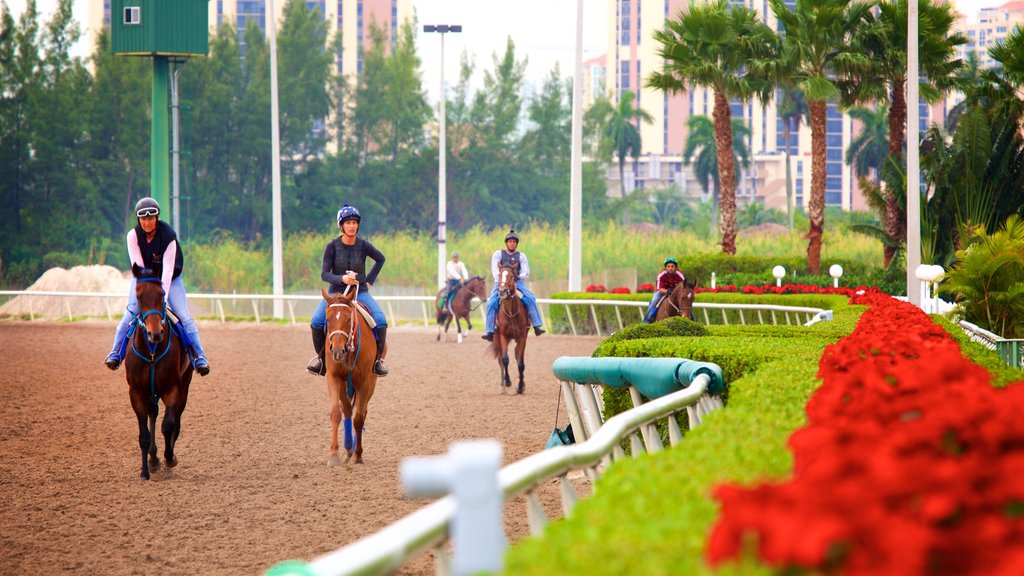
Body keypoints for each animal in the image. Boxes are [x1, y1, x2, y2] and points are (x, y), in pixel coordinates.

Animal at [124, 266, 193, 477]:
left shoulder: (173, 388)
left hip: (184, 385)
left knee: (175, 420)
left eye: (162, 294)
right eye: (138, 297)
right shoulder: (136, 391)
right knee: (153, 414)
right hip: (151, 392)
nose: (155, 333)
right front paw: (145, 472)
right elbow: (144, 434)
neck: (152, 351)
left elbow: (168, 425)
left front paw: (170, 457)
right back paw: (153, 458)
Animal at [319, 284, 380, 463]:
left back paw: (353, 450)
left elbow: (359, 418)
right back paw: (347, 448)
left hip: (372, 382)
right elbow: (335, 413)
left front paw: (358, 454)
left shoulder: (366, 380)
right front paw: (333, 455)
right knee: (346, 409)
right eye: (328, 319)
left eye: (348, 318)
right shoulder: (333, 377)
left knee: (362, 412)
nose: (337, 351)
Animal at [489, 262, 532, 391]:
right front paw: (508, 381)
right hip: (496, 337)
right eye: (499, 275)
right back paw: (503, 382)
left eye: (512, 276)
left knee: (517, 355)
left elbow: (520, 362)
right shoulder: (503, 335)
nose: (502, 291)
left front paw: (521, 386)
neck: (511, 313)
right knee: (500, 358)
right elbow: (505, 359)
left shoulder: (522, 336)